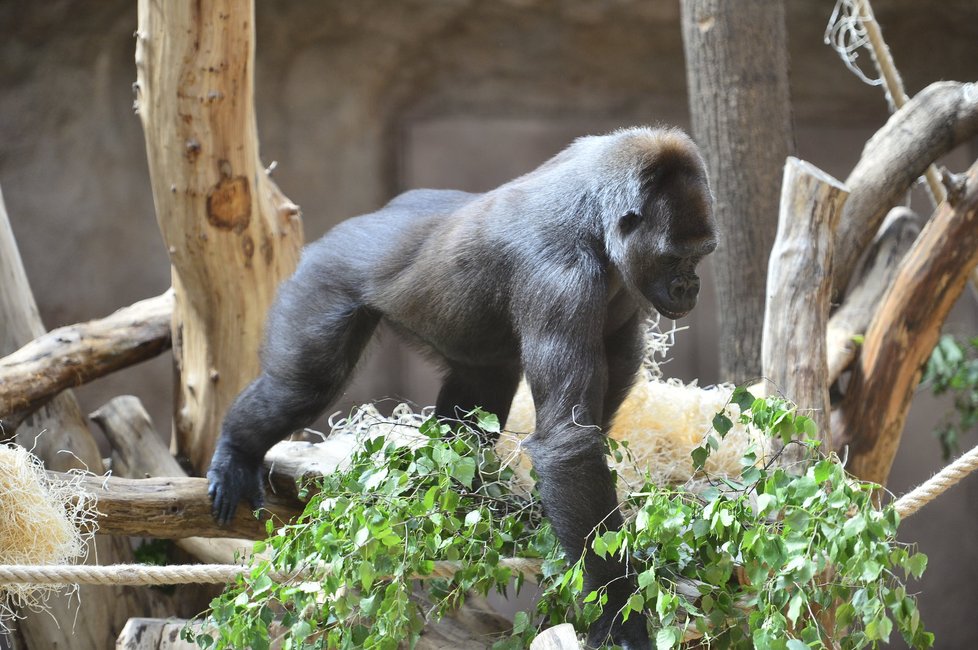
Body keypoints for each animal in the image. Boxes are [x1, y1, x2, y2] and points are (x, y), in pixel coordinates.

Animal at [208, 124, 708, 644]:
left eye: (701, 255)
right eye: (676, 257)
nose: (689, 287)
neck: (597, 220)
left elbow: (596, 409)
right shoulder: (563, 280)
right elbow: (568, 444)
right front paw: (617, 613)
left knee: (479, 393)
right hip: (323, 276)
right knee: (302, 387)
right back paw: (237, 450)